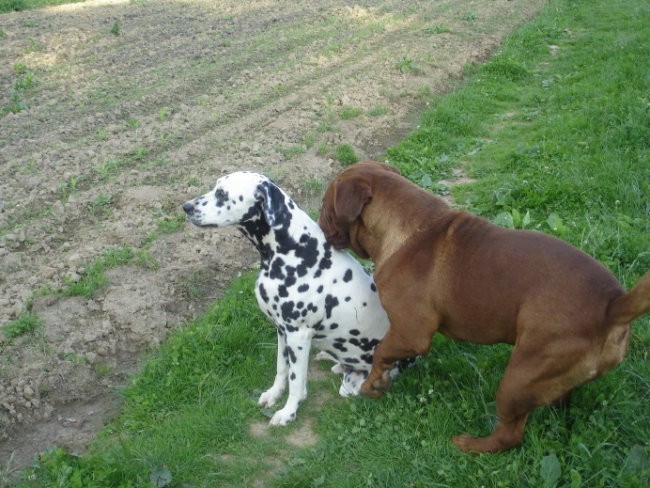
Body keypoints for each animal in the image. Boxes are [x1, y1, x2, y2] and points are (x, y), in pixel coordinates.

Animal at [182, 173, 392, 426]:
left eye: (222, 194)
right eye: (215, 186)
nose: (186, 207)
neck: (294, 248)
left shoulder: (297, 335)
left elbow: (296, 380)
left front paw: (288, 412)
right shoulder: (282, 331)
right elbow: (282, 368)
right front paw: (274, 394)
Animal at [318, 161, 648, 454]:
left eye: (325, 207)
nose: (319, 227)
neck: (407, 227)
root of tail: (613, 306)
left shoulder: (410, 334)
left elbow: (380, 353)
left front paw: (372, 385)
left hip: (517, 378)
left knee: (510, 435)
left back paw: (470, 445)